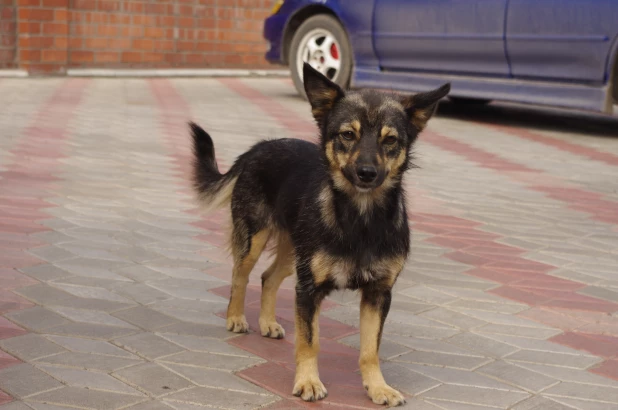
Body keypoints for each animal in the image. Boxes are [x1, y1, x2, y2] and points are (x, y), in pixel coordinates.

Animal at [189, 64, 448, 406]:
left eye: (390, 140)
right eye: (348, 135)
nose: (367, 173)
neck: (360, 219)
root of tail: (259, 147)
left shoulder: (378, 294)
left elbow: (370, 350)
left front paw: (378, 387)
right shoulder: (309, 290)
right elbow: (309, 342)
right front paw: (308, 382)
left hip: (293, 254)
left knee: (268, 278)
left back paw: (267, 322)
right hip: (255, 240)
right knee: (240, 275)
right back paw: (235, 317)